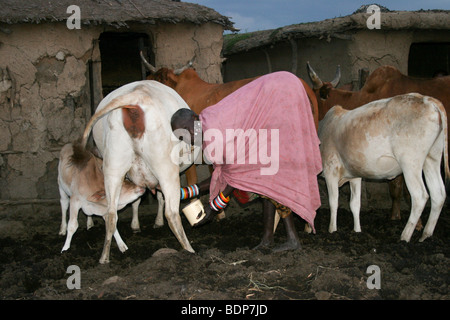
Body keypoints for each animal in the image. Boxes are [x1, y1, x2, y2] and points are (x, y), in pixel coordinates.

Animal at [318, 93, 448, 242]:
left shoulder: (330, 171)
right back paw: (426, 235)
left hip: (410, 163)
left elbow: (333, 202)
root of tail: (426, 99)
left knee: (419, 196)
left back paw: (405, 236)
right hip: (432, 158)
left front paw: (332, 230)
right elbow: (355, 205)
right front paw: (357, 231)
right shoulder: (355, 176)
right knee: (438, 194)